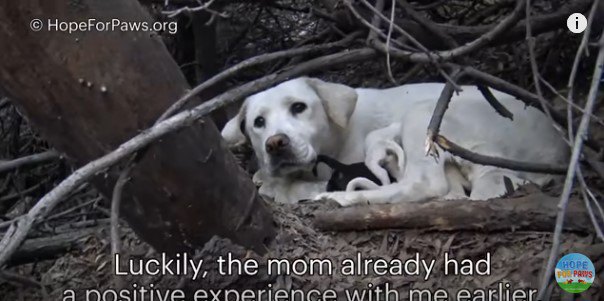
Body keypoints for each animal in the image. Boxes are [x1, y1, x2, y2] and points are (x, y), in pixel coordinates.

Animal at [221, 76, 568, 205]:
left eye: (298, 107)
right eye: (258, 123)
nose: (275, 143)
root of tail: (558, 146)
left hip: (425, 116)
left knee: (423, 185)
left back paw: (340, 198)